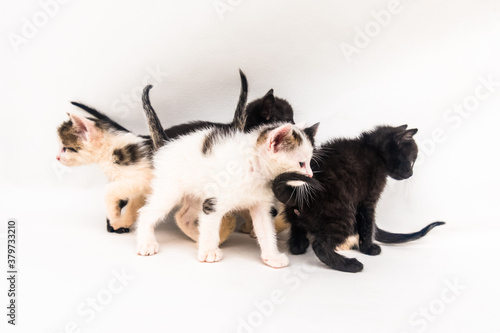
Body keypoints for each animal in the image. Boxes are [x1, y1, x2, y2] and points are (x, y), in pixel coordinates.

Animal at [135, 86, 318, 268]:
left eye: (309, 162)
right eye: (301, 163)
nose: (310, 174)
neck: (255, 170)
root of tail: (166, 144)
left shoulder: (260, 206)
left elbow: (266, 231)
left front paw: (272, 257)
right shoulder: (212, 202)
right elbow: (210, 226)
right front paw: (209, 252)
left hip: (196, 192)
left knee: (183, 216)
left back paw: (197, 237)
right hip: (169, 191)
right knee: (147, 212)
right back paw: (146, 243)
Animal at [274, 124, 446, 272]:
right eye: (411, 161)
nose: (410, 174)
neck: (374, 150)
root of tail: (299, 196)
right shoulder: (368, 200)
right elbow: (367, 224)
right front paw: (368, 248)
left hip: (295, 215)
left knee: (298, 230)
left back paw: (299, 246)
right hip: (342, 215)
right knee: (320, 245)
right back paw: (350, 265)